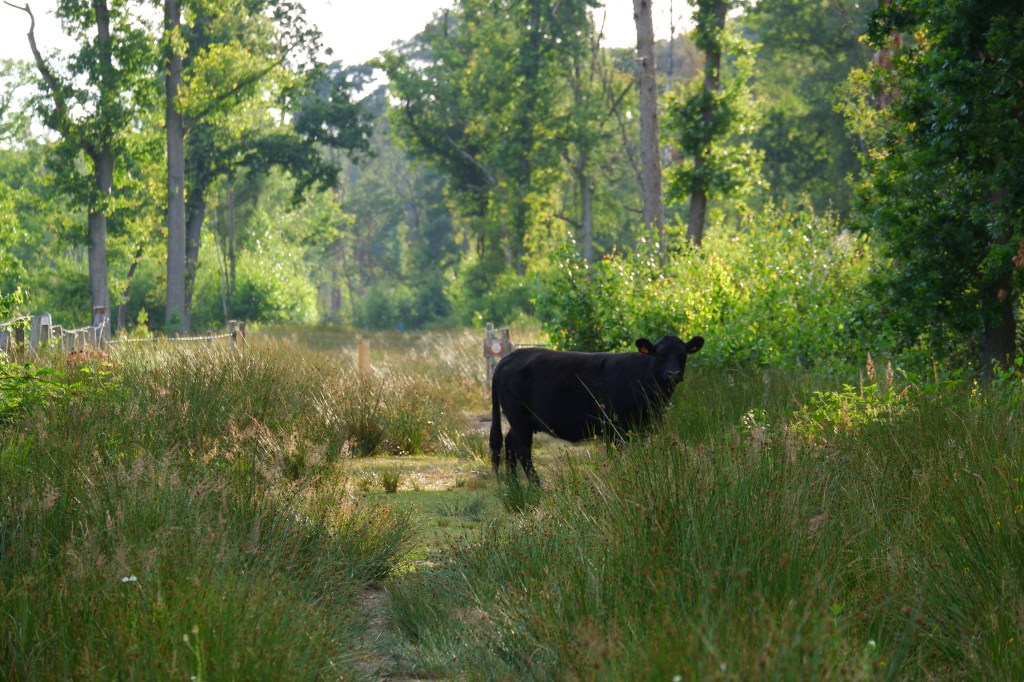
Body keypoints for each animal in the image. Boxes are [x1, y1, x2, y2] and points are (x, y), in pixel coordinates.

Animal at [489, 334, 704, 483]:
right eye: (660, 356)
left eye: (683, 356)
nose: (673, 373)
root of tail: (509, 357)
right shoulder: (614, 427)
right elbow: (616, 455)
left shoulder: (644, 426)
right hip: (519, 418)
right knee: (522, 449)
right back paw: (536, 484)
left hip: (520, 421)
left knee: (510, 443)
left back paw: (513, 483)